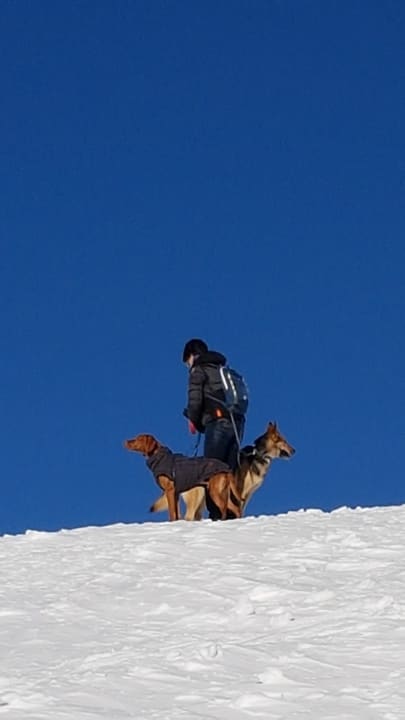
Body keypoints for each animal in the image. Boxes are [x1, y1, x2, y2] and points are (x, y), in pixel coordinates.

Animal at [149, 422, 295, 520]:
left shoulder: (247, 495)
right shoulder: (240, 491)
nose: (294, 450)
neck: (258, 455)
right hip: (197, 498)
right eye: (284, 441)